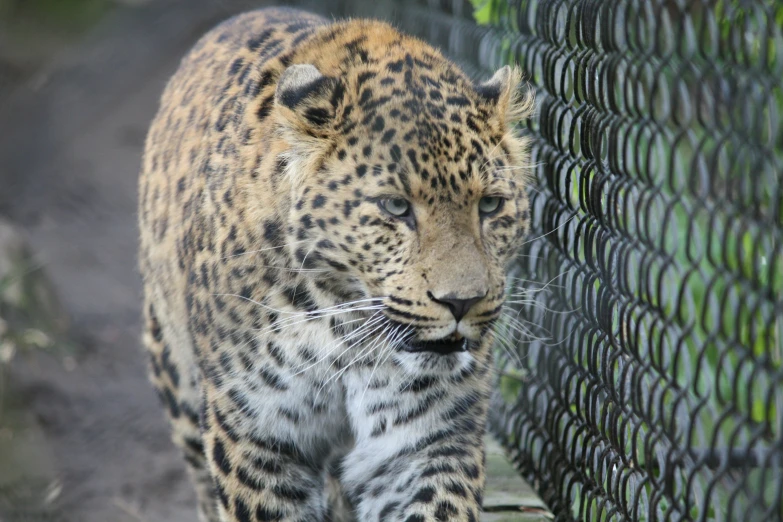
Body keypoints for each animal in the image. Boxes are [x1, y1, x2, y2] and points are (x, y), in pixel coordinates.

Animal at [138, 5, 536, 520]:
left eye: (490, 205)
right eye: (395, 207)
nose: (462, 303)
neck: (342, 326)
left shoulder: (428, 441)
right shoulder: (256, 433)